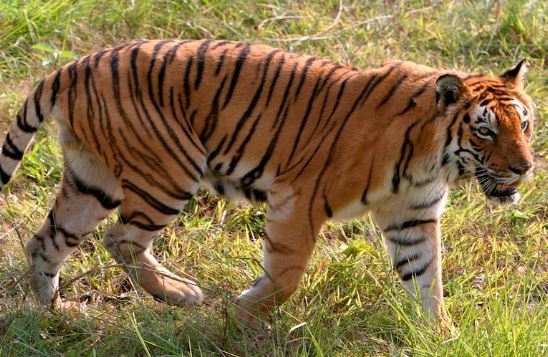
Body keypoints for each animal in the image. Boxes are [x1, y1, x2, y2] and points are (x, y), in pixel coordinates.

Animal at [0, 39, 532, 328]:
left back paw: (60, 312)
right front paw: (238, 315)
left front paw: (440, 335)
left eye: (524, 125)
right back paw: (181, 295)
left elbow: (426, 279)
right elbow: (286, 275)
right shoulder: (300, 199)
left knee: (47, 241)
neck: (433, 159)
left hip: (94, 179)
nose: (525, 168)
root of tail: (75, 65)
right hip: (169, 172)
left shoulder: (413, 218)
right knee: (120, 238)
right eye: (486, 131)